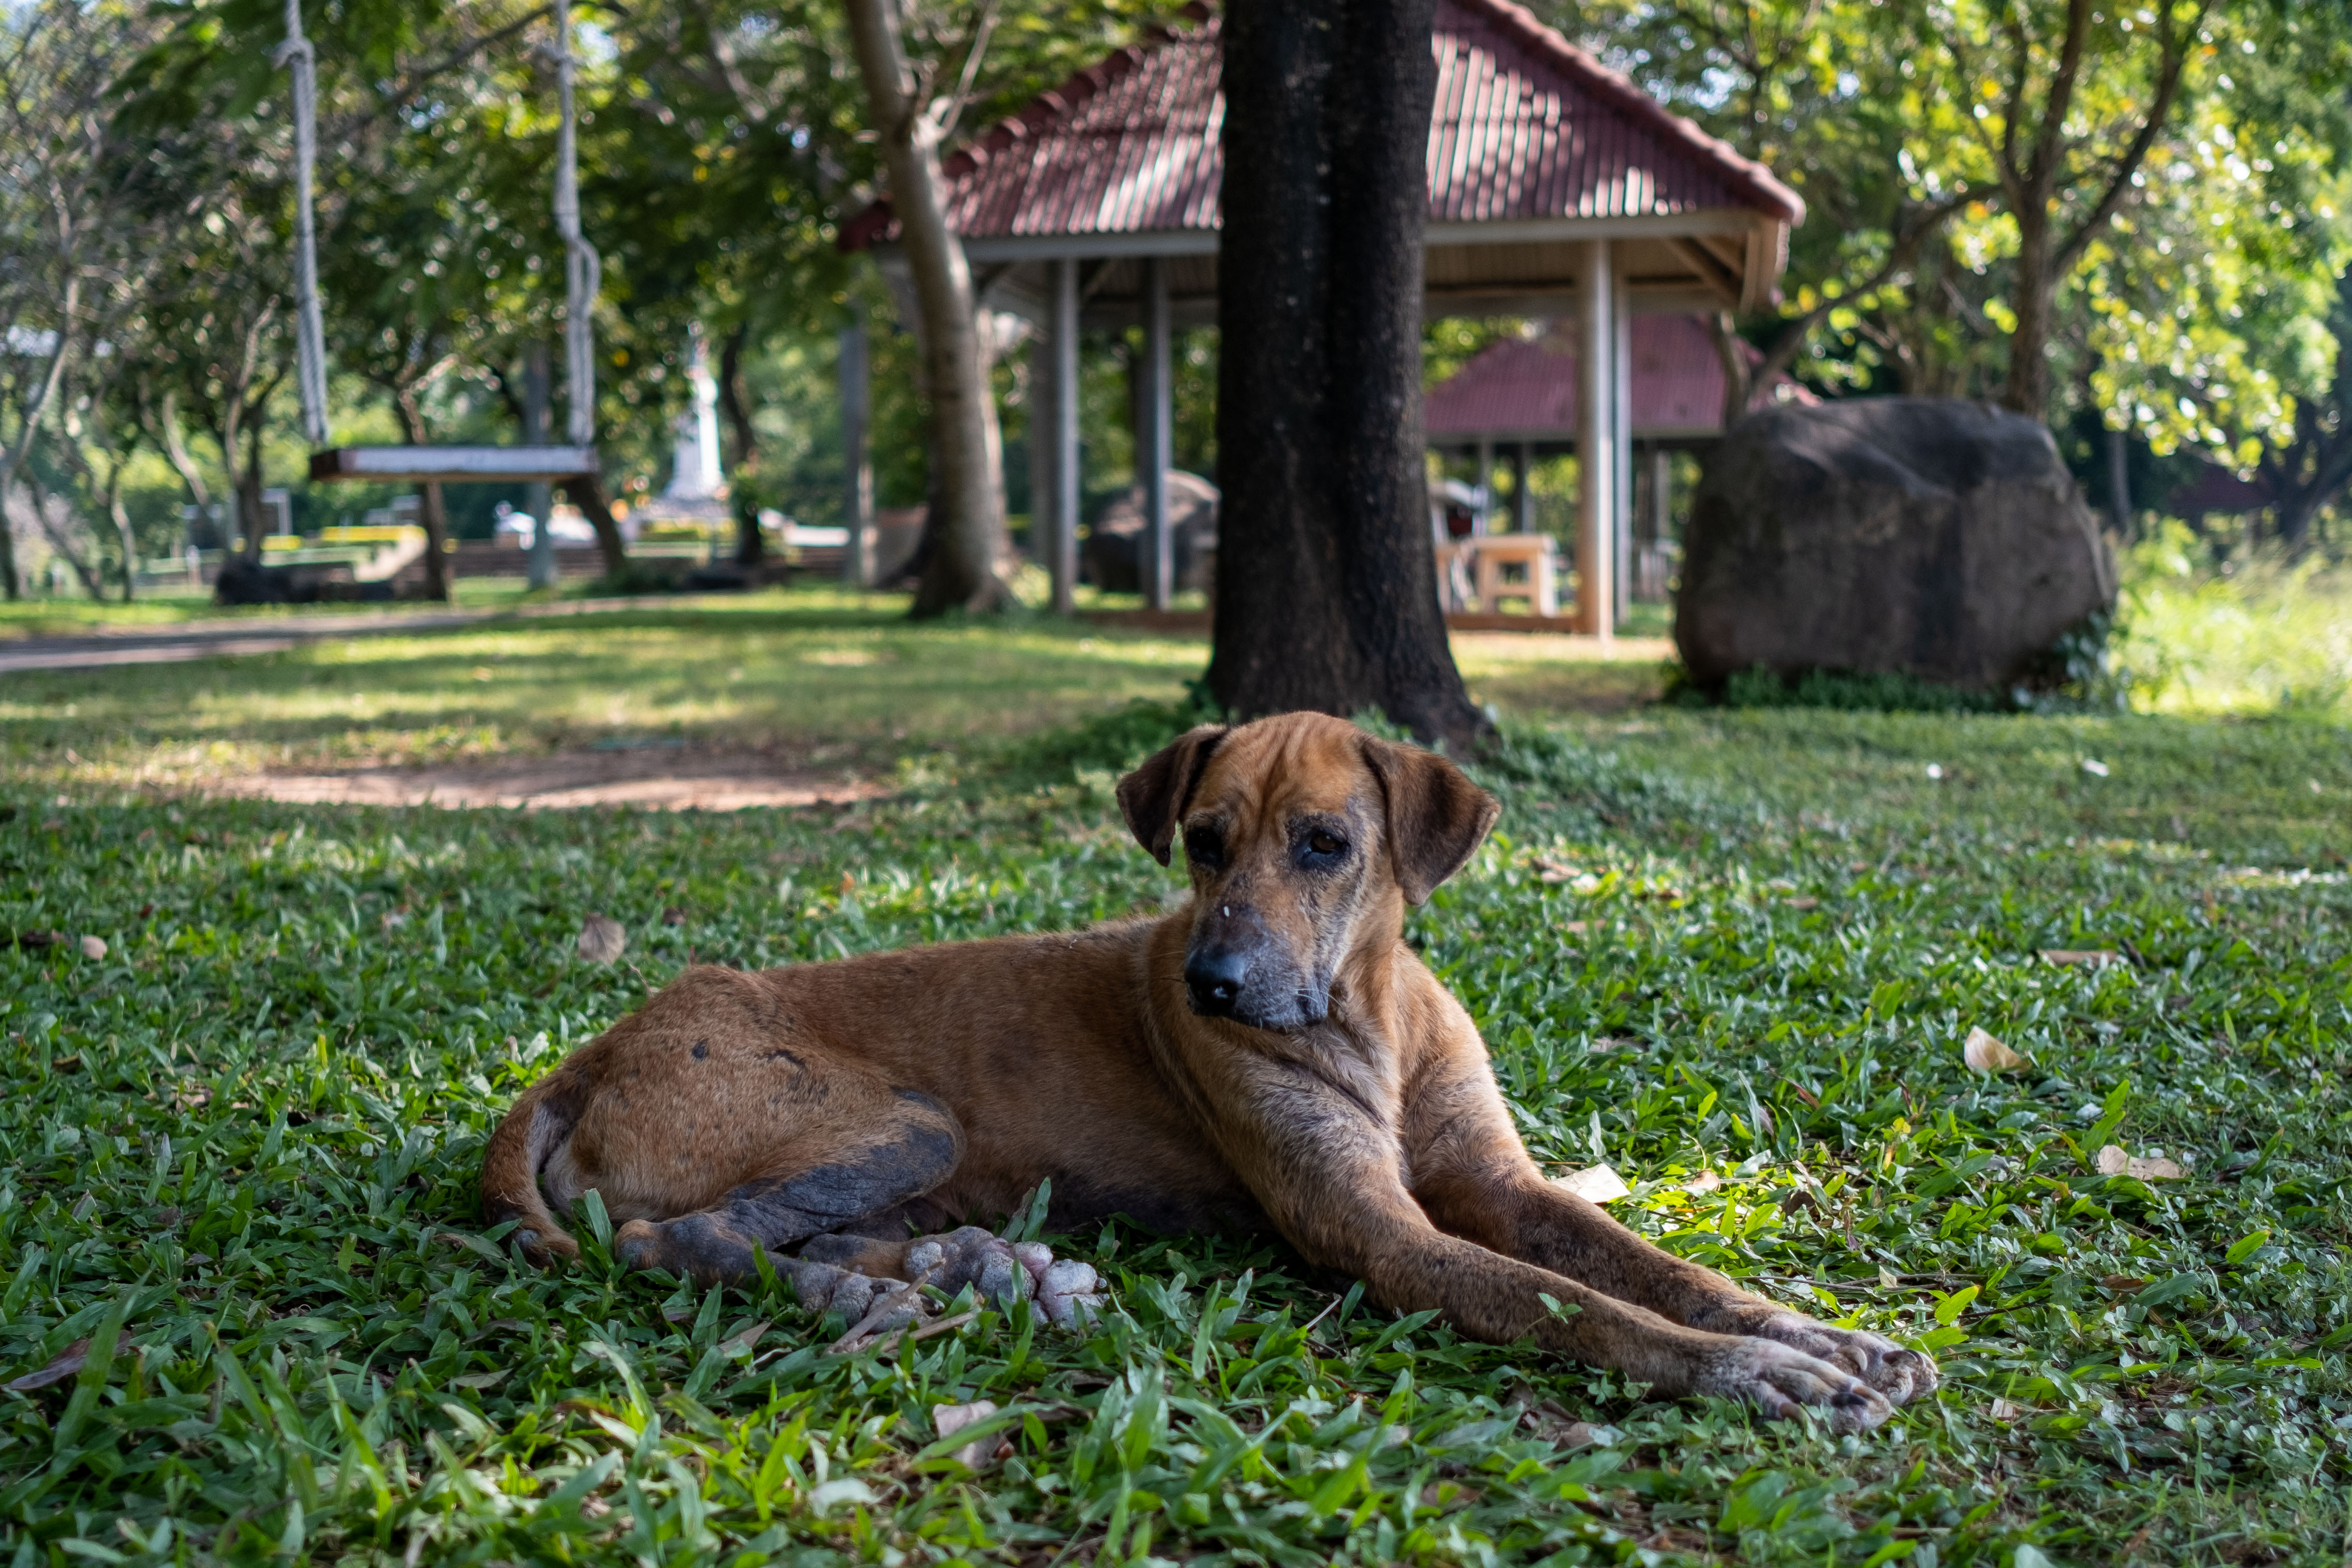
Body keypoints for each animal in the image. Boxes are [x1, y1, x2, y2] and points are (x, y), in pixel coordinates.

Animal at [477, 710, 1928, 1438]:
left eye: (1325, 842)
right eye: (1203, 840)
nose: (1212, 987)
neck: (1368, 1020)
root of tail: (594, 1046)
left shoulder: (1500, 1184)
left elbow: (1649, 1266)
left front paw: (1810, 1331)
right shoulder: (1383, 1235)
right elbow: (1578, 1307)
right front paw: (1747, 1373)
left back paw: (972, 1269)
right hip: (900, 1117)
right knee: (685, 1235)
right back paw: (878, 1289)